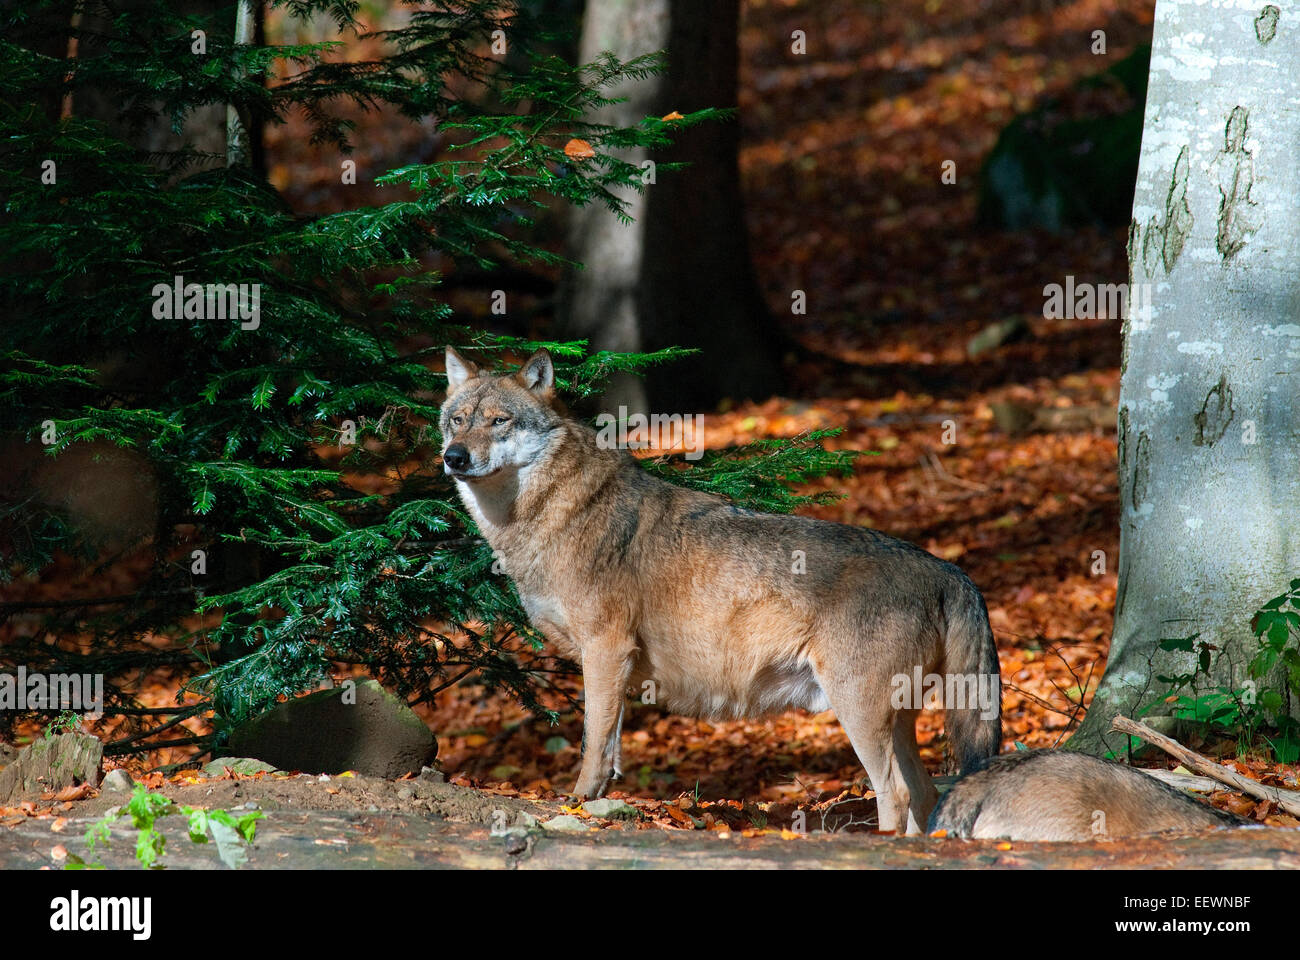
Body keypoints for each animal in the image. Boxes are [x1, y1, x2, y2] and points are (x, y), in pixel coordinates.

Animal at [441, 346, 998, 832]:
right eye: (458, 420)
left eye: (499, 421)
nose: (454, 457)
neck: (551, 513)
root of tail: (948, 569)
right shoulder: (613, 664)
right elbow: (611, 747)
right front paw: (600, 804)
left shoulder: (605, 649)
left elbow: (592, 745)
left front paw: (576, 805)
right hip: (895, 719)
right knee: (926, 793)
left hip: (860, 712)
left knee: (897, 795)